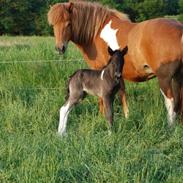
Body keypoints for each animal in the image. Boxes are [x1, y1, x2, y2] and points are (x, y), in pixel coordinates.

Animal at [47, 1, 183, 126]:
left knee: (170, 102)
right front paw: (127, 117)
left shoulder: (100, 71)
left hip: (164, 78)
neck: (96, 32)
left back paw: (170, 127)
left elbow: (102, 97)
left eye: (68, 23)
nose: (60, 48)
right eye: (53, 25)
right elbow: (122, 92)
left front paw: (101, 118)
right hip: (177, 78)